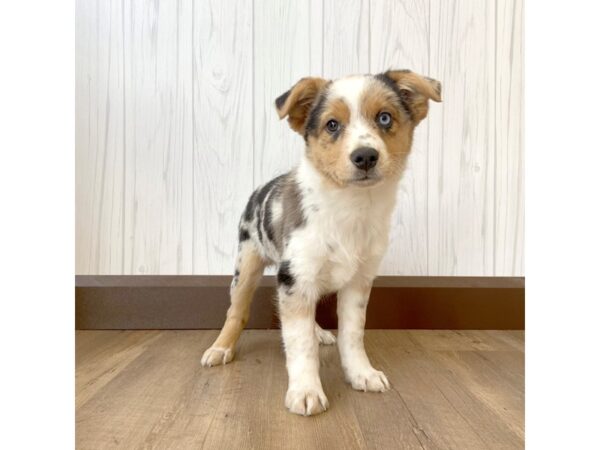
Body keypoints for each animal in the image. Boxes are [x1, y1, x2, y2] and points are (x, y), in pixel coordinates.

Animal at [202, 68, 440, 416]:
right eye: (332, 125)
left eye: (384, 118)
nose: (365, 156)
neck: (350, 208)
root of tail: (260, 188)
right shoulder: (295, 278)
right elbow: (299, 345)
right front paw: (305, 391)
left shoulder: (357, 282)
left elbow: (352, 335)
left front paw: (362, 373)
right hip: (246, 264)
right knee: (237, 311)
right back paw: (220, 348)